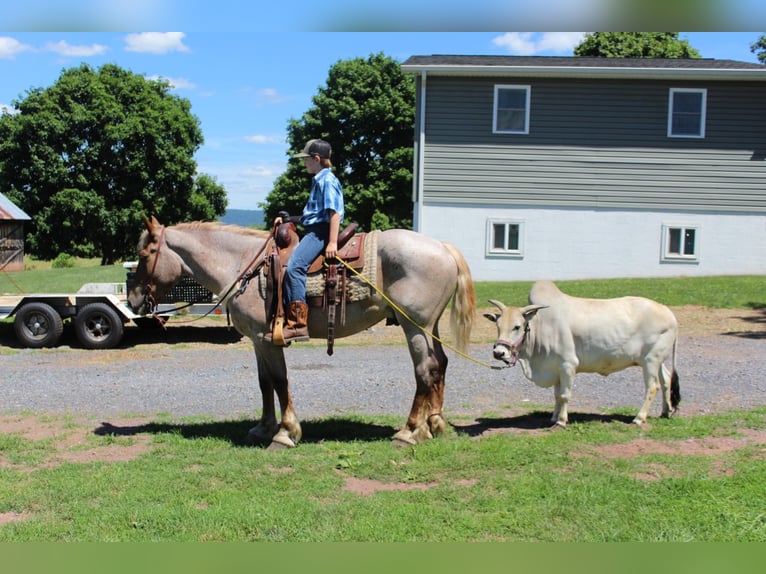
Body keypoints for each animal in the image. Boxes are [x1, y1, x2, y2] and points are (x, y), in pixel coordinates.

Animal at [127, 217, 476, 450]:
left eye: (145, 255)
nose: (133, 300)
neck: (243, 264)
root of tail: (443, 247)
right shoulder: (258, 340)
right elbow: (265, 383)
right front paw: (263, 428)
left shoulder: (269, 340)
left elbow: (280, 381)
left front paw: (285, 433)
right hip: (430, 326)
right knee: (441, 365)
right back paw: (434, 424)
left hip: (414, 326)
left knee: (425, 370)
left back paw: (410, 431)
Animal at [486, 282, 684, 430]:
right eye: (498, 325)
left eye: (517, 326)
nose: (499, 352)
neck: (542, 329)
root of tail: (669, 313)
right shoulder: (556, 368)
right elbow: (557, 395)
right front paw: (553, 416)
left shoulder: (568, 365)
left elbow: (565, 395)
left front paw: (561, 421)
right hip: (656, 360)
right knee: (666, 380)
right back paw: (666, 411)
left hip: (650, 360)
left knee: (652, 387)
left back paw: (639, 418)